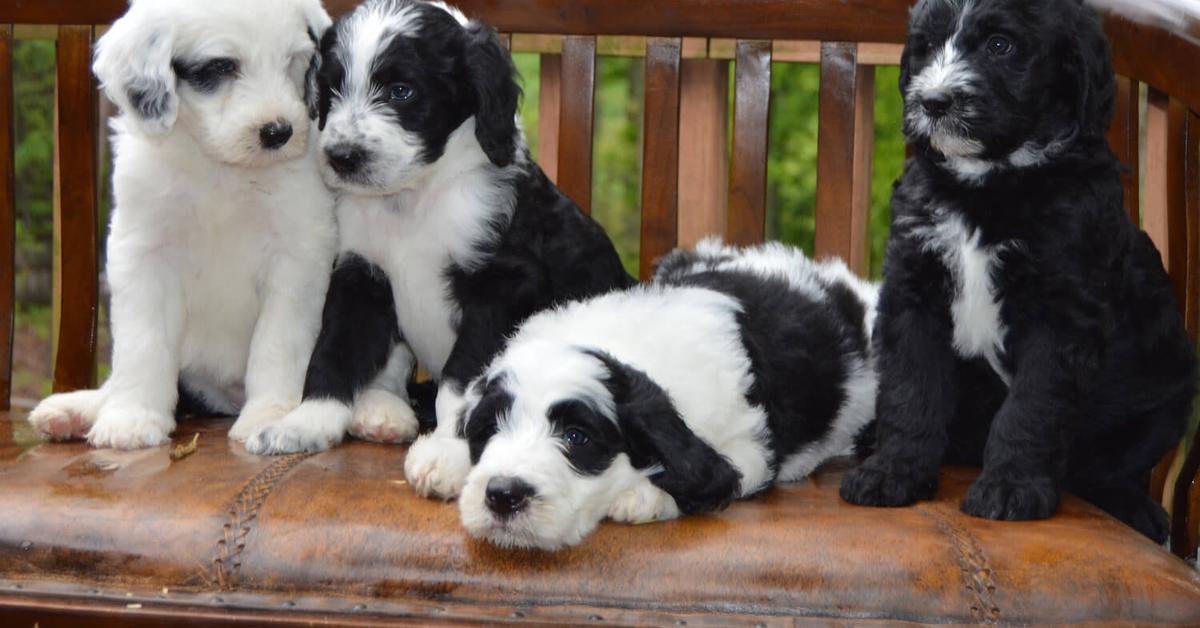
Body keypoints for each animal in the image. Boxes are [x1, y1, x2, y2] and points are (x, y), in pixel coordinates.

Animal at [29, 0, 338, 451]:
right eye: (221, 66)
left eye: (291, 61)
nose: (279, 132)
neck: (219, 169)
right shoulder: (144, 252)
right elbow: (143, 343)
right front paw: (131, 419)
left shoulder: (298, 253)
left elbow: (277, 341)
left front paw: (270, 416)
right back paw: (75, 410)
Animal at [246, 0, 638, 453]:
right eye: (331, 88)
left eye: (402, 91)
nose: (342, 157)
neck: (416, 200)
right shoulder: (360, 274)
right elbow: (335, 352)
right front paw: (306, 423)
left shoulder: (501, 287)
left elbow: (462, 376)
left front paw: (451, 444)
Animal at [453, 241, 878, 549]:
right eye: (488, 432)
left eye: (577, 437)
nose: (503, 494)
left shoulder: (751, 445)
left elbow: (713, 475)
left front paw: (645, 495)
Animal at [840, 0, 1195, 542]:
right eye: (926, 46)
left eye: (1000, 45)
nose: (934, 102)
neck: (988, 182)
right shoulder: (914, 291)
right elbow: (910, 390)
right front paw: (892, 472)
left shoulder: (1060, 315)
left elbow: (1031, 407)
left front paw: (1010, 488)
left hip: (1167, 386)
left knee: (1112, 468)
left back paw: (1135, 509)